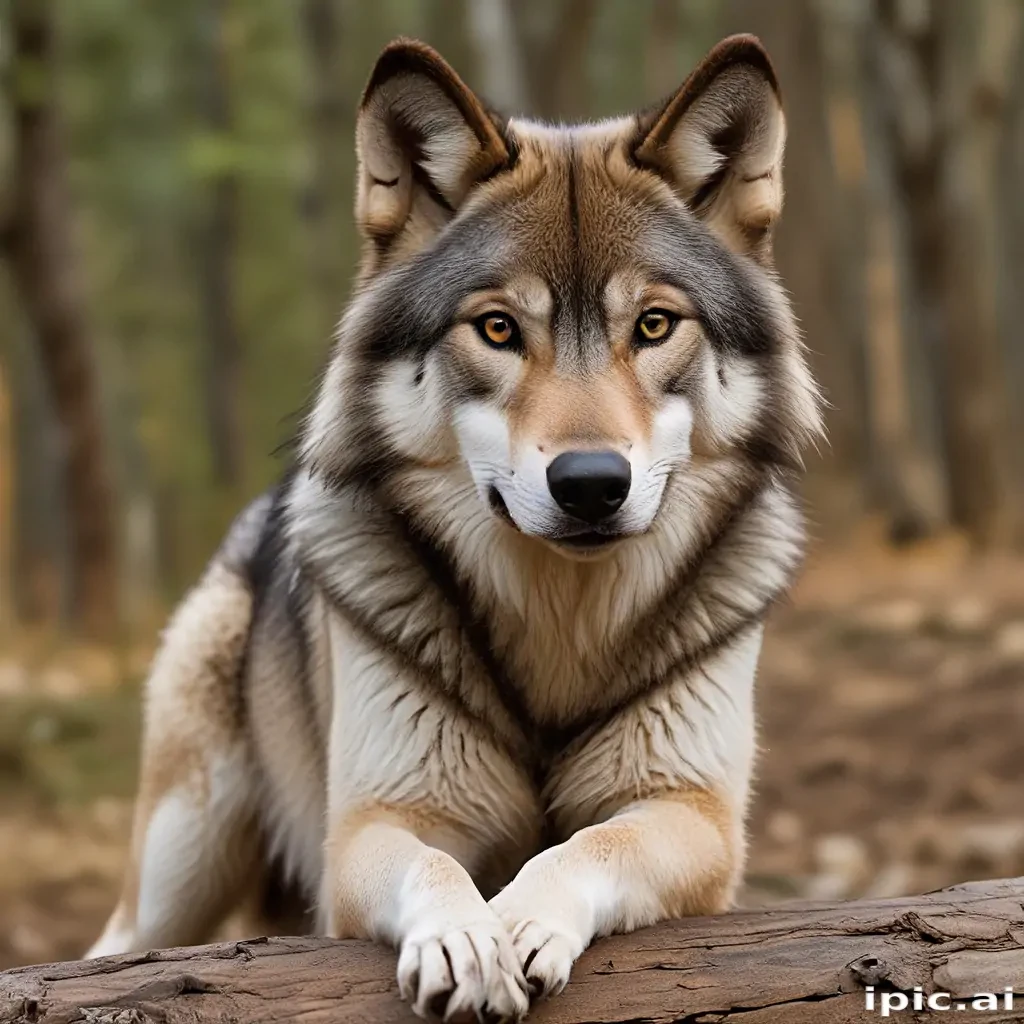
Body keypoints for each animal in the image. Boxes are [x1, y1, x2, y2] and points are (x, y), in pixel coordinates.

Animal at [89, 34, 822, 1022]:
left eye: (654, 324)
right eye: (500, 328)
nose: (592, 484)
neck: (560, 622)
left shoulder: (695, 818)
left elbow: (589, 845)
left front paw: (520, 920)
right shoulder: (371, 827)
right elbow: (433, 866)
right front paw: (464, 937)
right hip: (179, 866)